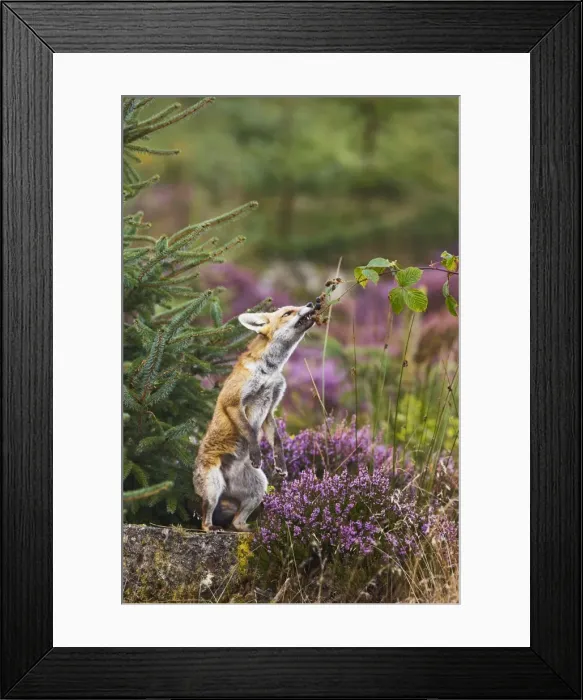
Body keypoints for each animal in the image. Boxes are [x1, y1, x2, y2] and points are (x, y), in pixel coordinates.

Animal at [194, 301, 318, 532]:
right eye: (288, 312)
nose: (311, 304)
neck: (269, 372)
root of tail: (227, 486)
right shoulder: (233, 403)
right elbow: (250, 431)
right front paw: (256, 454)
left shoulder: (269, 409)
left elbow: (277, 441)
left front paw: (281, 465)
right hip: (213, 488)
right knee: (206, 518)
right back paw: (211, 527)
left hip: (259, 487)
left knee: (236, 521)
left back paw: (248, 529)